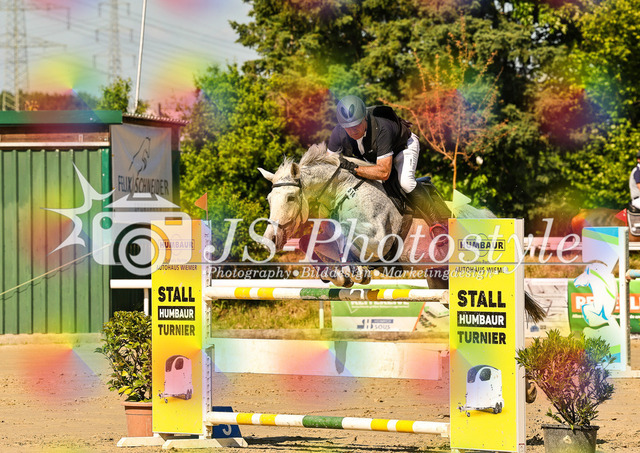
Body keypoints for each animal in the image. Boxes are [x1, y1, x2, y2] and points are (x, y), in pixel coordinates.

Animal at [258, 143, 545, 324]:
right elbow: (314, 248)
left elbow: (350, 246)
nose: (270, 240)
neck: (344, 191)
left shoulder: (378, 240)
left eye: (291, 197)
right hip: (441, 282)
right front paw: (337, 276)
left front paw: (355, 273)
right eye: (270, 198)